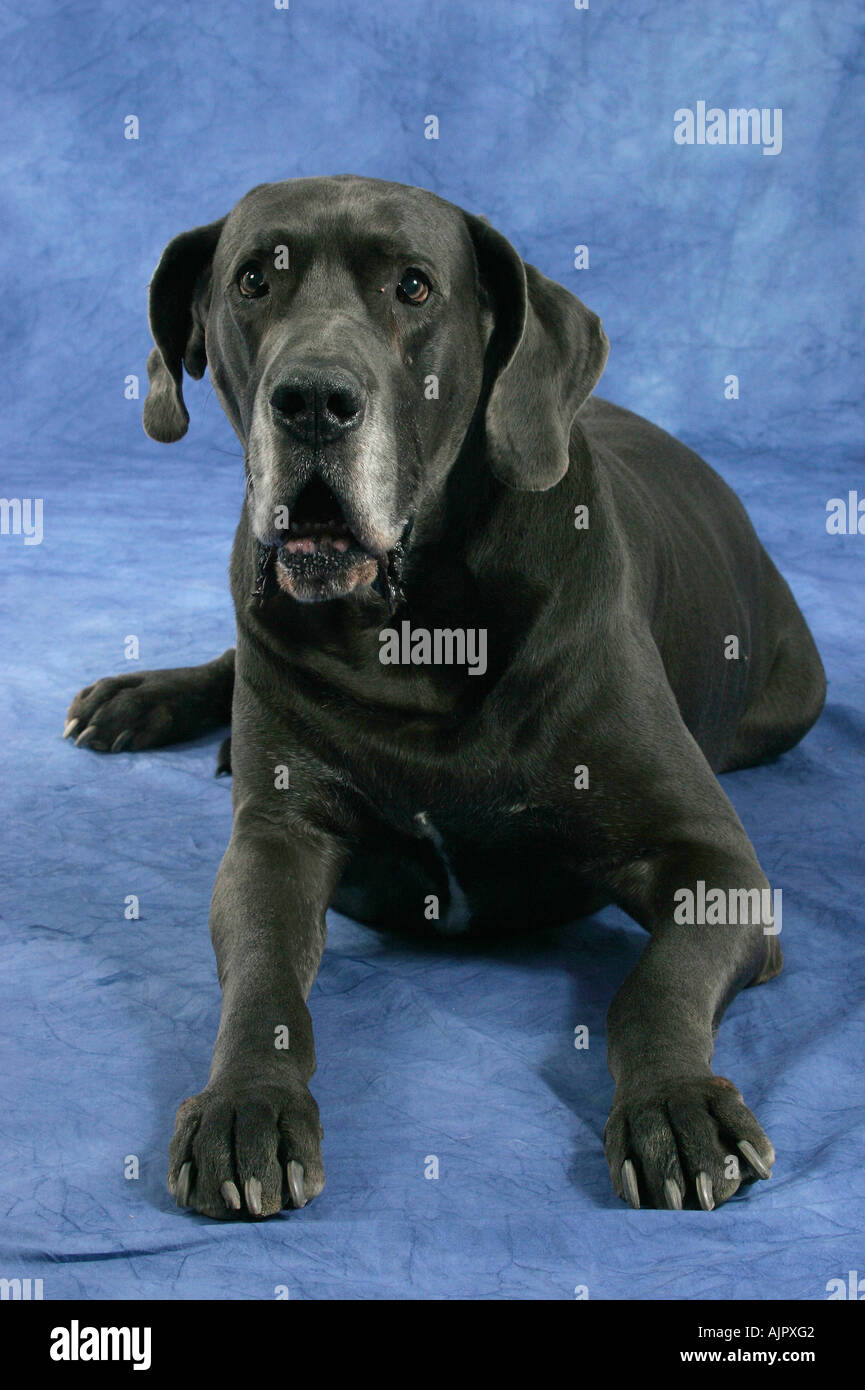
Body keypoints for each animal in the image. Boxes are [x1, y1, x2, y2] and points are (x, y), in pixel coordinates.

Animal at [66, 176, 828, 1217]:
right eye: (253, 280)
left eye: (415, 287)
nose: (313, 401)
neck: (414, 632)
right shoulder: (276, 839)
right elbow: (261, 980)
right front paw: (244, 1105)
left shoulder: (712, 860)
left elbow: (651, 990)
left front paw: (675, 1103)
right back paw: (139, 698)